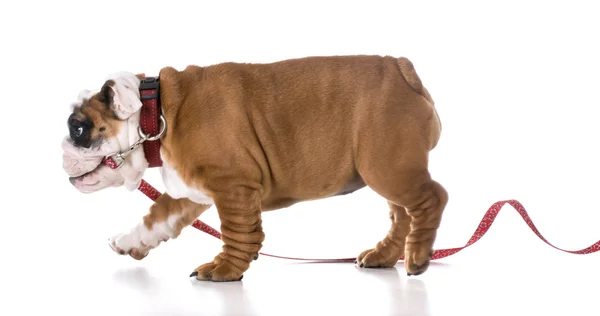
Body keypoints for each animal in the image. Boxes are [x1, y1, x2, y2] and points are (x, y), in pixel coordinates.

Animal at [61, 55, 448, 282]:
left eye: (77, 128)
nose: (62, 146)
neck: (156, 114)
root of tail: (401, 68)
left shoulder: (233, 187)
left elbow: (237, 232)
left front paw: (223, 269)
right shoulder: (190, 193)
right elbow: (157, 218)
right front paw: (130, 240)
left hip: (388, 167)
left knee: (432, 198)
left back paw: (417, 256)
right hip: (391, 170)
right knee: (402, 215)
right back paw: (384, 256)